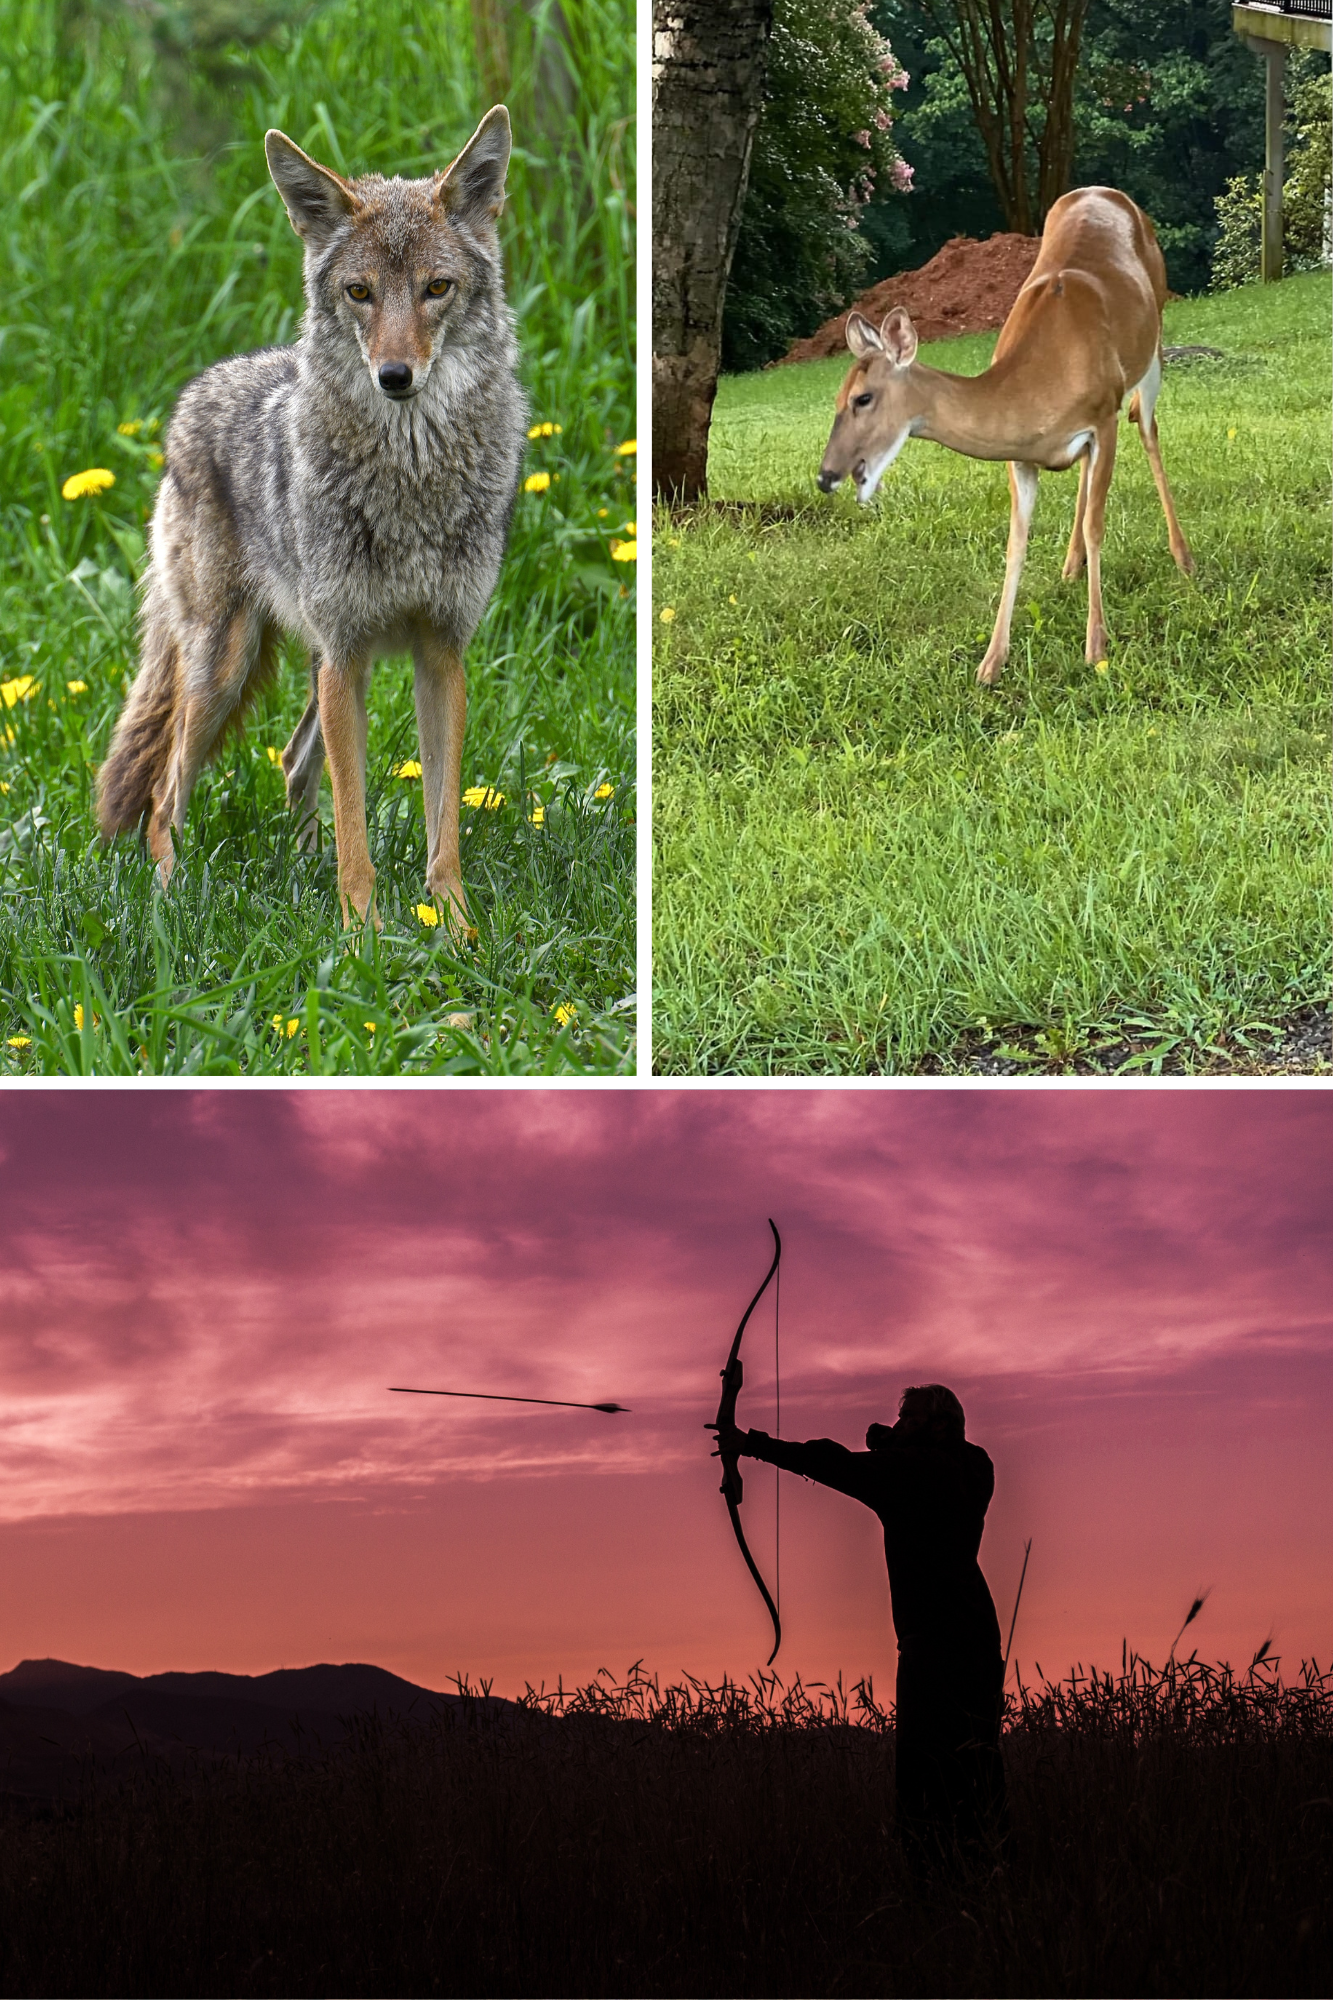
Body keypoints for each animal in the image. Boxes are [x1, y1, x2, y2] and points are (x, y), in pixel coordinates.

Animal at [817, 187, 1194, 685]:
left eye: (863, 398)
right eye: (836, 397)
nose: (825, 476)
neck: (1040, 384)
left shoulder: (1104, 417)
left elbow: (1097, 526)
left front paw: (1096, 646)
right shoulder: (1021, 456)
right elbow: (1016, 543)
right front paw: (992, 661)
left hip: (1152, 349)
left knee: (1148, 431)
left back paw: (1183, 557)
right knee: (1086, 468)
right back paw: (1070, 566)